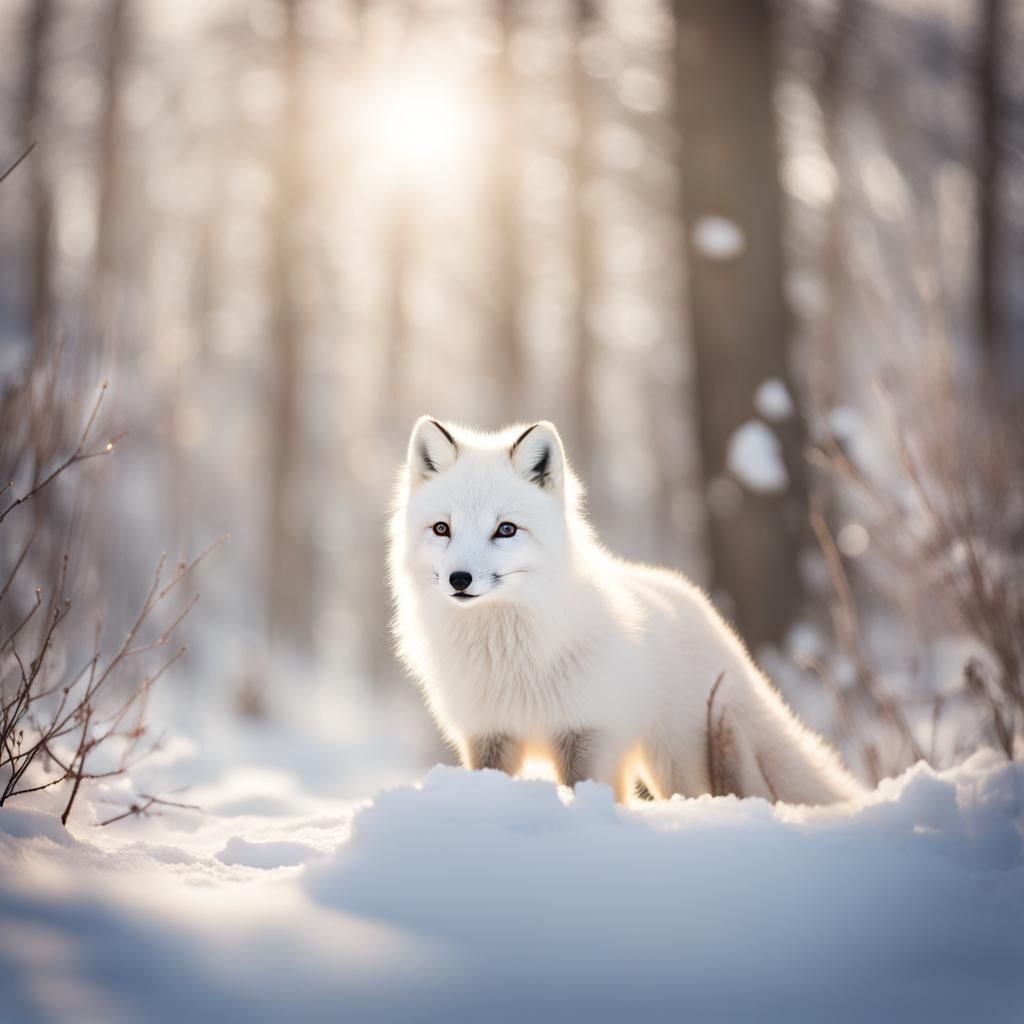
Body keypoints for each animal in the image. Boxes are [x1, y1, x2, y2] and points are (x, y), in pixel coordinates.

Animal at [388, 416, 862, 805]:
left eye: (505, 530)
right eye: (442, 529)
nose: (459, 579)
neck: (509, 654)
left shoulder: (588, 731)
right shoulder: (488, 736)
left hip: (683, 766)